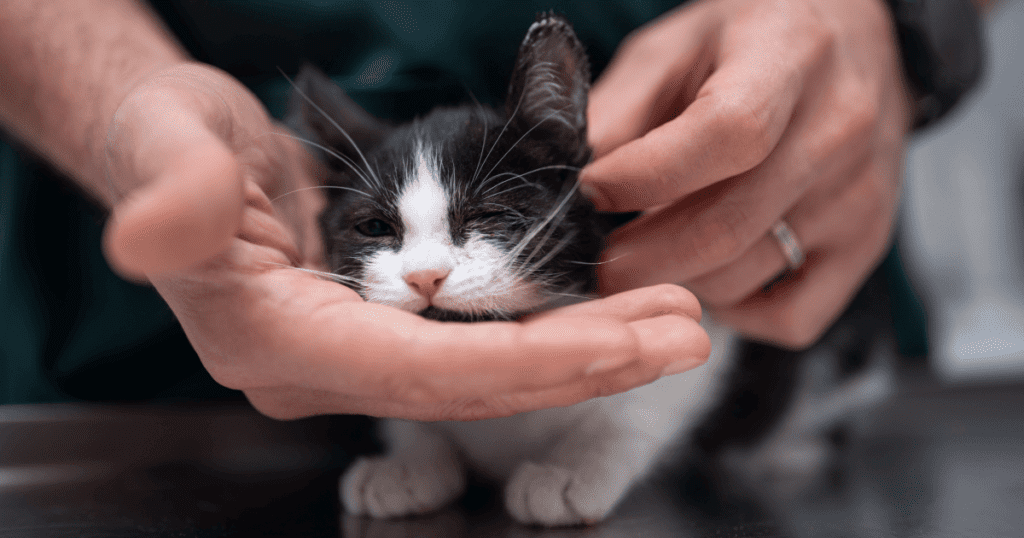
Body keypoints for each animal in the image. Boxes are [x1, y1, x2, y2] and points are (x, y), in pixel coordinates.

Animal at [286, 14, 888, 524]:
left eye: (490, 216)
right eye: (374, 228)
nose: (424, 277)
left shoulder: (701, 325)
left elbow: (650, 396)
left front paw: (575, 468)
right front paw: (410, 461)